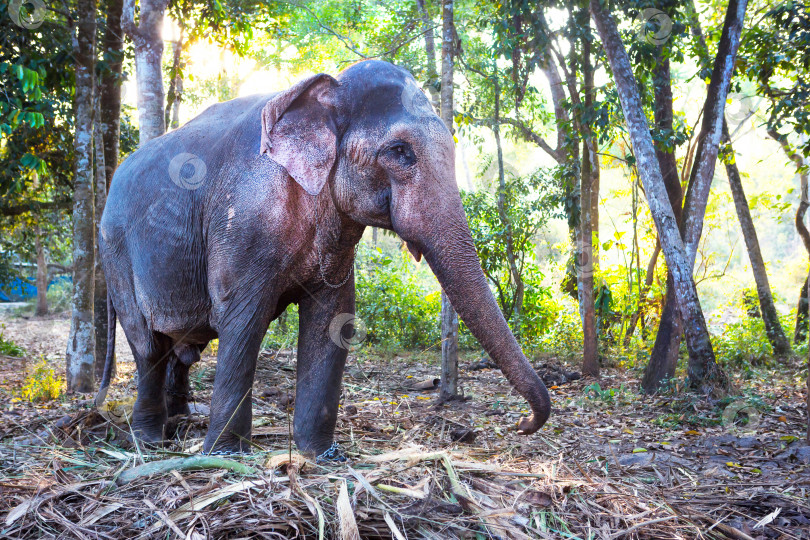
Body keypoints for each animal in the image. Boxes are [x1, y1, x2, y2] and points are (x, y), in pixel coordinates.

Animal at [93, 59, 548, 458]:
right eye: (400, 151)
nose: (522, 424)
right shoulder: (243, 223)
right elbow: (242, 321)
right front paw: (225, 455)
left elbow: (333, 319)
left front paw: (323, 455)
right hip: (115, 253)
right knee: (148, 344)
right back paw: (150, 440)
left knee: (181, 347)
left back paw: (181, 421)